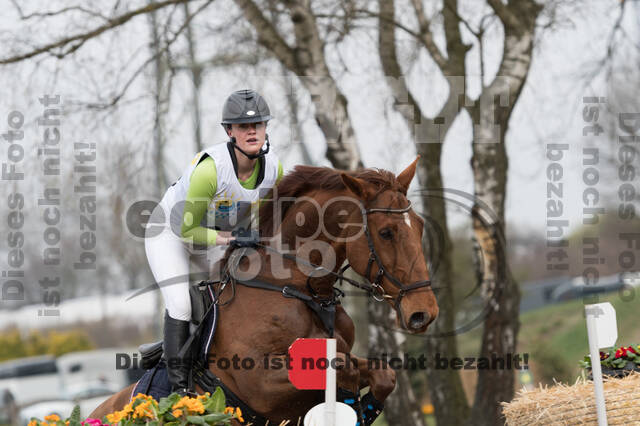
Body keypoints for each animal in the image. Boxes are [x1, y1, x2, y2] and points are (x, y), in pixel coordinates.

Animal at [91, 159, 440, 422]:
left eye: (421, 225)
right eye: (386, 232)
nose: (423, 312)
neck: (296, 288)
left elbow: (382, 375)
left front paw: (363, 409)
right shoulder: (260, 384)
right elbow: (343, 369)